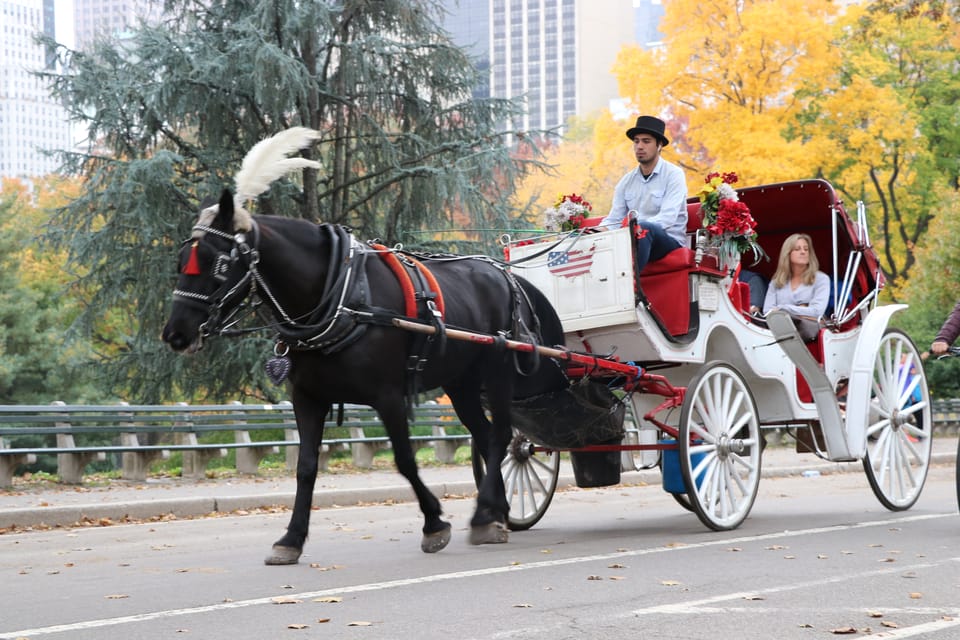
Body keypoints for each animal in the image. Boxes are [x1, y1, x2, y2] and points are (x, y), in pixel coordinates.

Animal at [163, 185, 568, 564]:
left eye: (217, 262)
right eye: (181, 260)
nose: (175, 334)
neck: (341, 296)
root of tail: (504, 274)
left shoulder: (387, 396)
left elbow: (405, 460)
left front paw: (434, 524)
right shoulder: (307, 398)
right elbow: (306, 468)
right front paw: (290, 539)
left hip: (497, 370)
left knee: (500, 436)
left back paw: (485, 514)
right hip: (461, 382)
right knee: (485, 436)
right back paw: (495, 512)